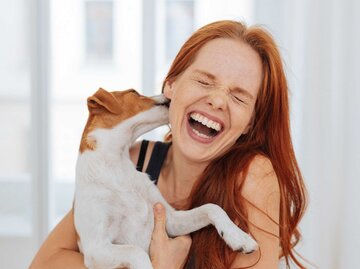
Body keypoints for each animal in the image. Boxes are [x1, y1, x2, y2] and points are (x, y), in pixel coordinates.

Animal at [74, 88, 258, 268]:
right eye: (134, 92)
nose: (170, 96)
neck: (118, 168)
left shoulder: (171, 221)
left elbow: (211, 207)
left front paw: (239, 237)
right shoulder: (96, 248)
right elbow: (136, 252)